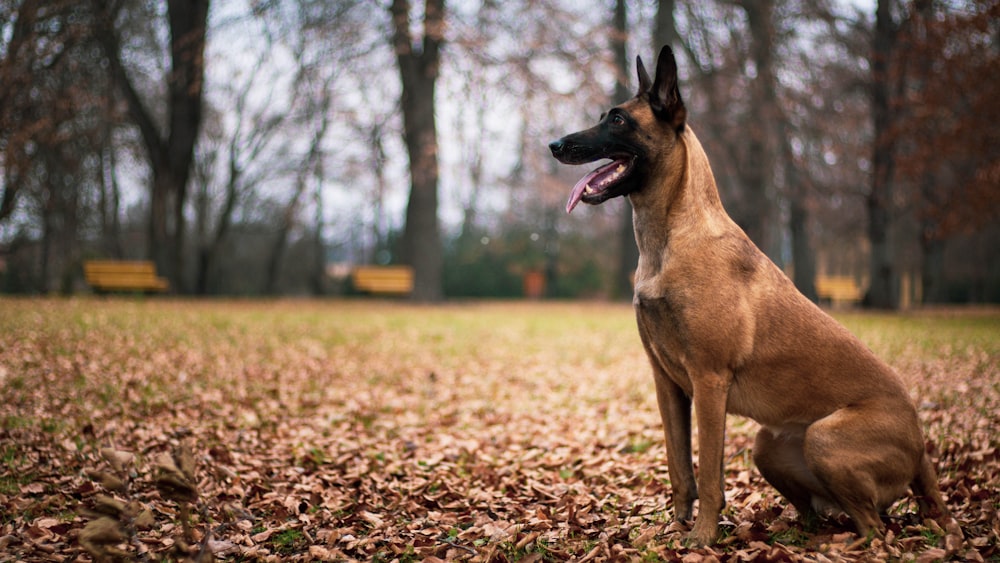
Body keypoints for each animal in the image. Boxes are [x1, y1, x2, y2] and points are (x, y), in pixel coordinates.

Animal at [548, 46, 960, 548]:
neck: (671, 238)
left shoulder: (708, 381)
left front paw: (702, 537)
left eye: (619, 120)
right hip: (769, 444)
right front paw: (673, 529)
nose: (555, 145)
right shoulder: (667, 383)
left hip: (825, 438)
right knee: (824, 513)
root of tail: (921, 444)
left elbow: (708, 475)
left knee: (876, 529)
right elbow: (679, 470)